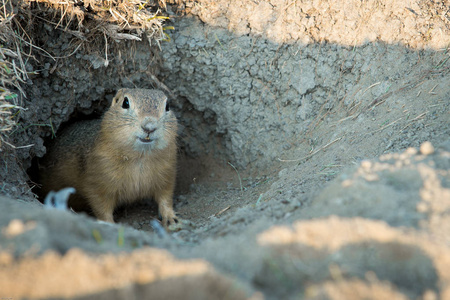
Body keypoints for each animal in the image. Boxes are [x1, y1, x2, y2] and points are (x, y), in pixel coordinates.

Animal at [40, 89, 178, 227]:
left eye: (167, 106)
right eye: (125, 103)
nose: (149, 127)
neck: (140, 157)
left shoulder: (167, 174)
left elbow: (166, 196)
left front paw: (171, 218)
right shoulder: (98, 181)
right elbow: (101, 206)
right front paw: (110, 224)